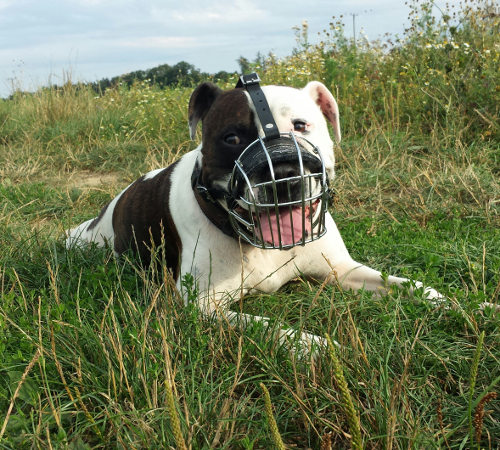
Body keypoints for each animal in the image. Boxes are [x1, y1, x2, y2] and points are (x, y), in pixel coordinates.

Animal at [65, 74, 442, 354]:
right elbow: (272, 327)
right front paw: (317, 346)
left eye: (301, 125)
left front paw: (450, 303)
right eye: (232, 137)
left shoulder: (341, 270)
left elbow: (408, 285)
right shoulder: (204, 306)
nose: (284, 174)